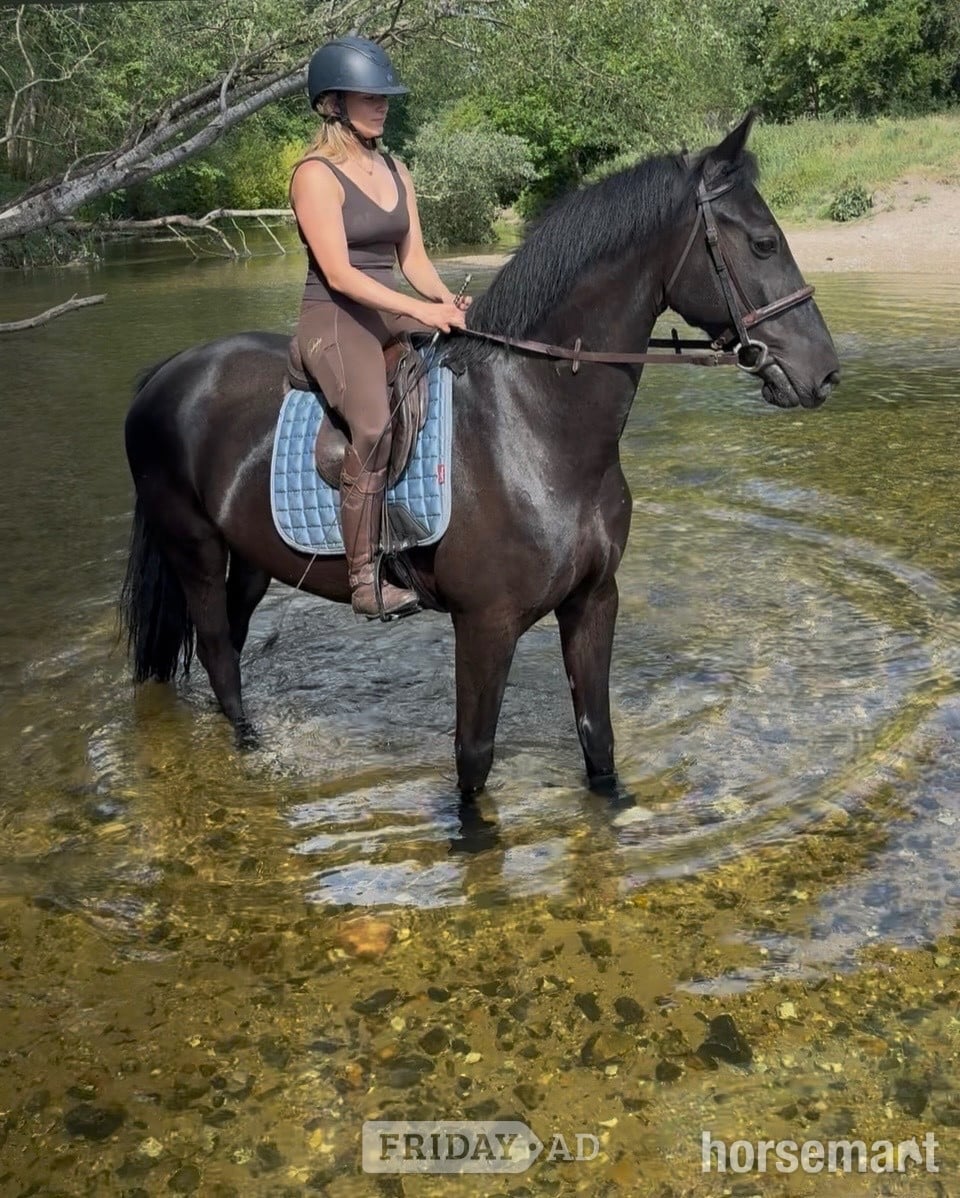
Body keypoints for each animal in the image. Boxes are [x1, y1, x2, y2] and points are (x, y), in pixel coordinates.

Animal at [120, 113, 840, 799]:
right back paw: (252, 754)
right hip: (194, 549)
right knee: (218, 653)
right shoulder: (485, 625)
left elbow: (598, 741)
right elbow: (473, 760)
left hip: (254, 560)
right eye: (764, 242)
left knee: (231, 645)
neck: (532, 426)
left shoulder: (593, 601)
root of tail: (165, 374)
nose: (825, 373)